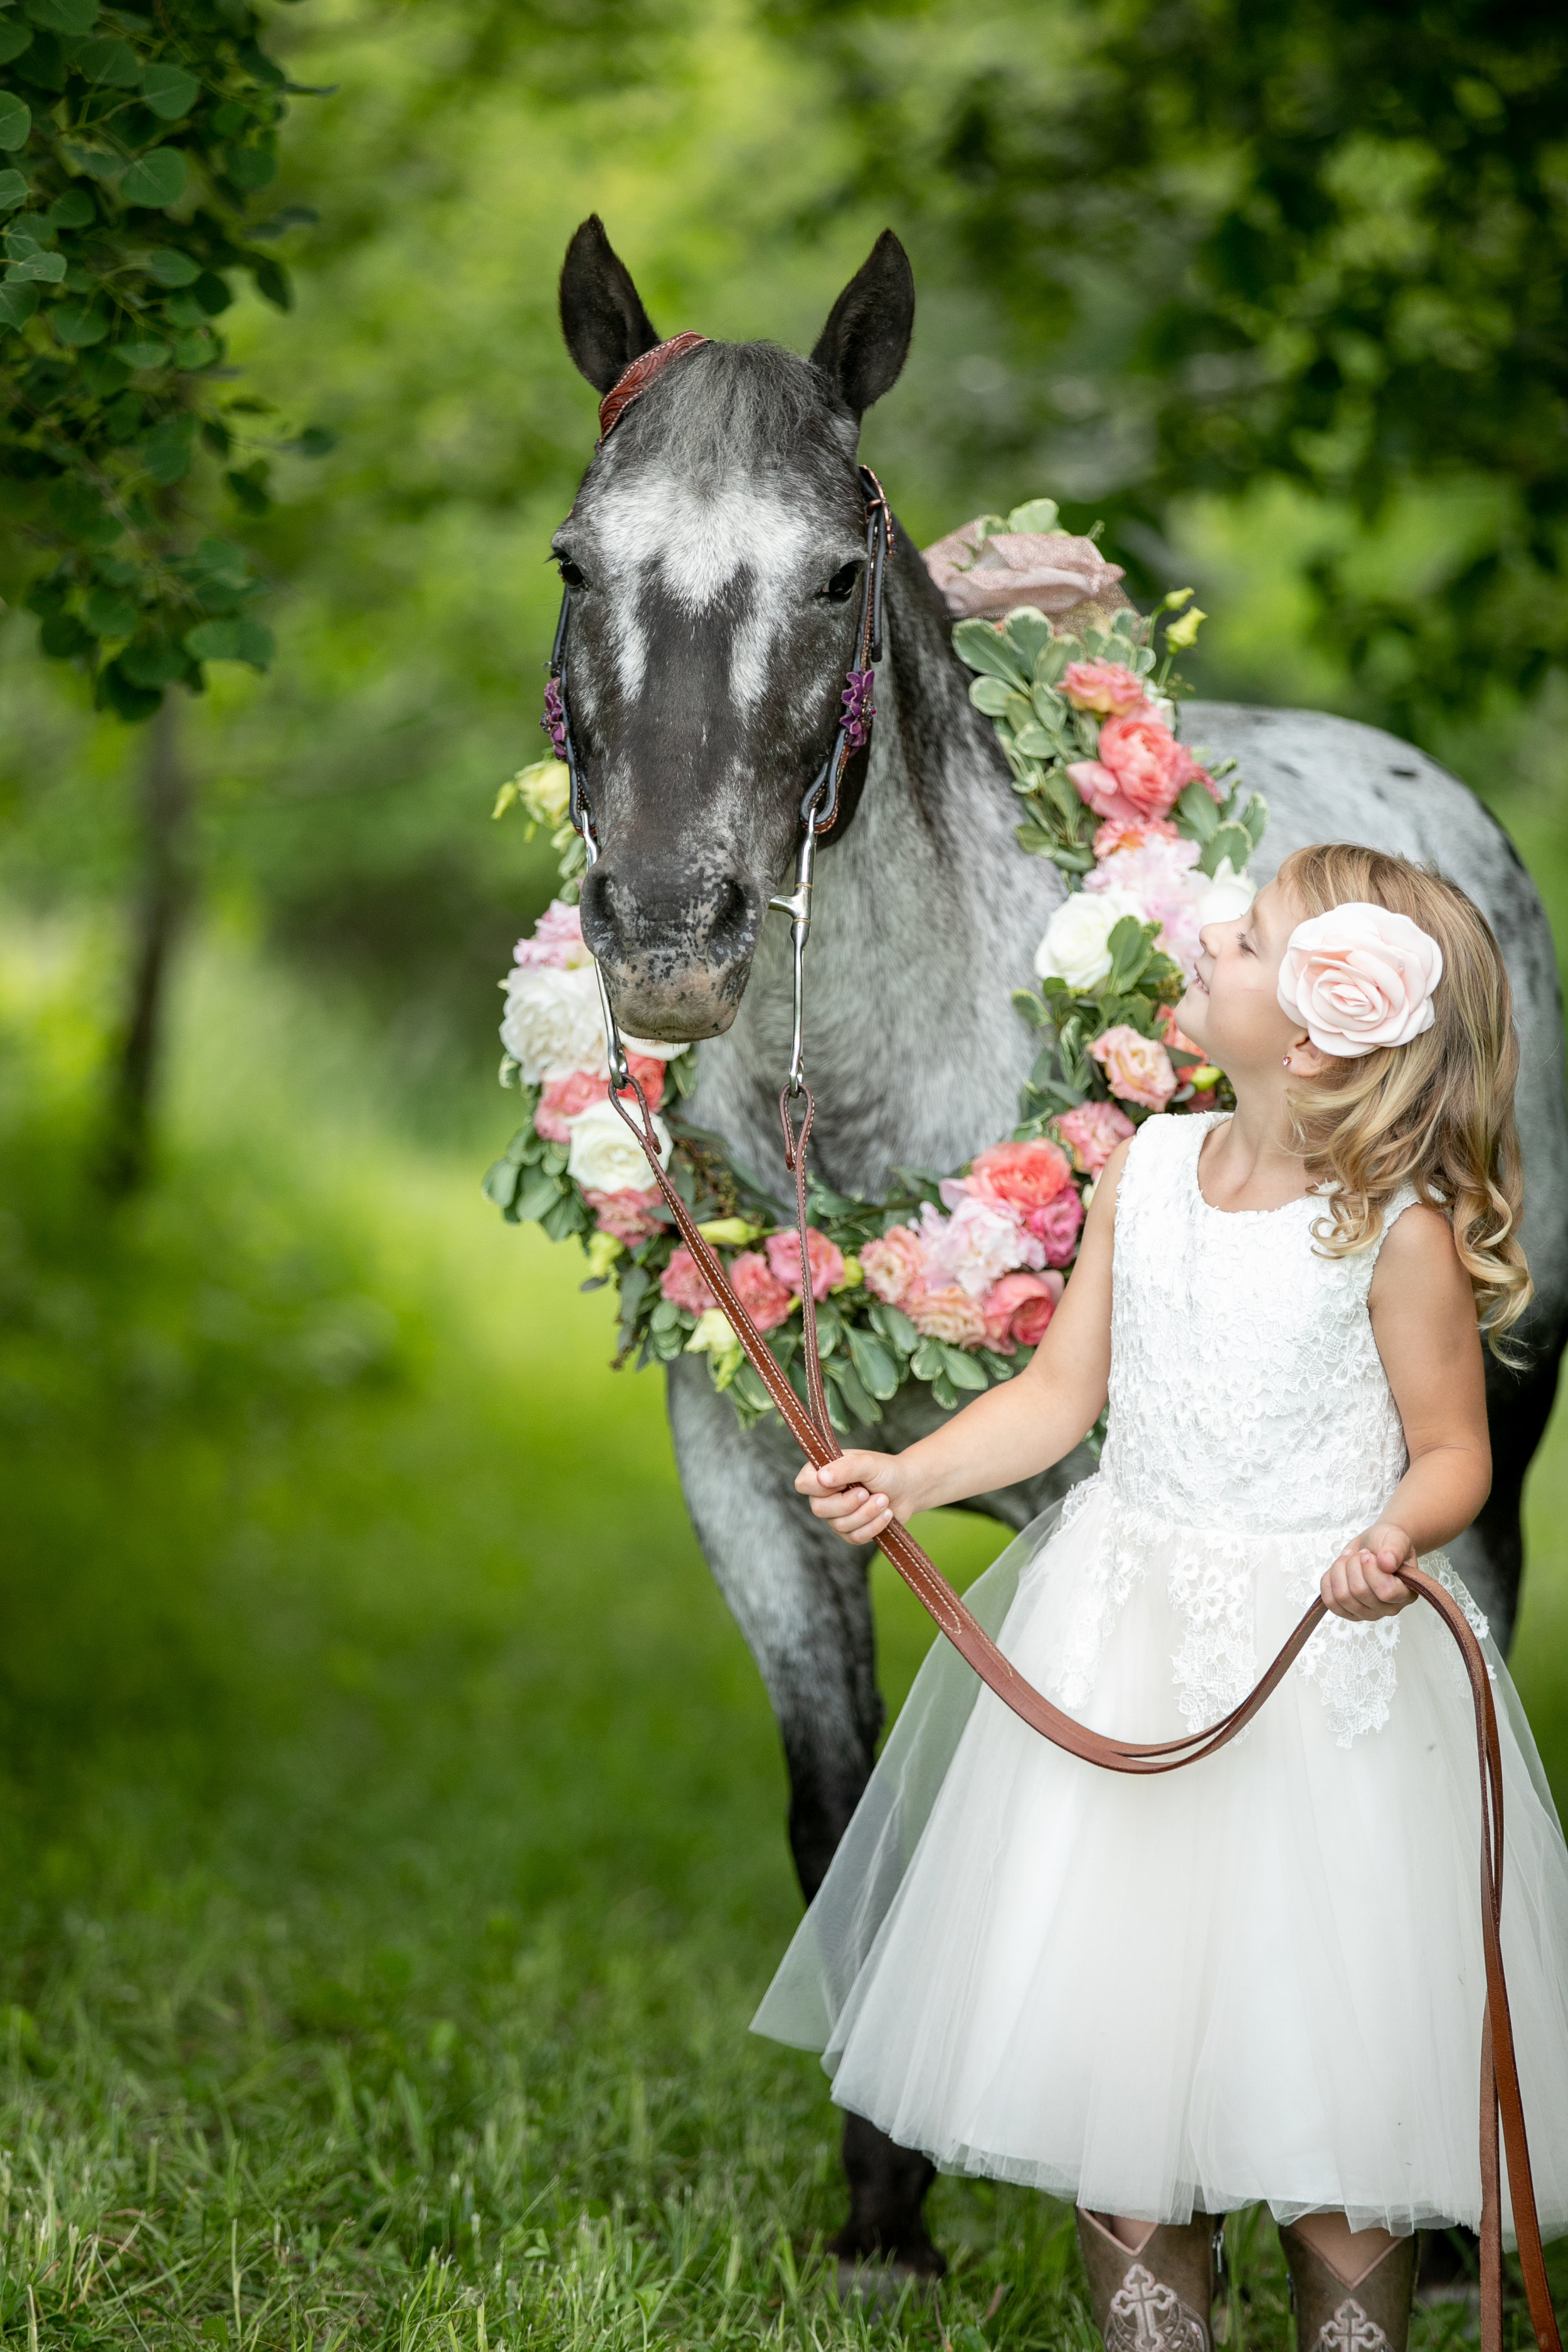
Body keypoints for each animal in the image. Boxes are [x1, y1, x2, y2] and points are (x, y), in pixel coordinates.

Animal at [550, 221, 1568, 2277]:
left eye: (832, 572)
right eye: (573, 562)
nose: (671, 930)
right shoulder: (760, 1497)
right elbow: (841, 1829)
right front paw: (885, 2223)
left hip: (1474, 1477)